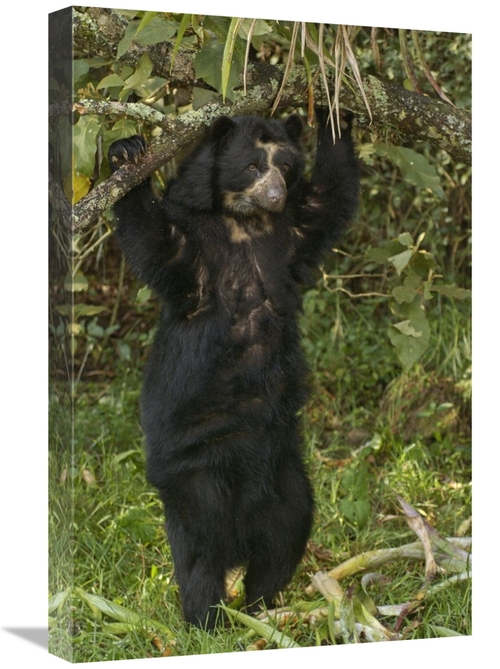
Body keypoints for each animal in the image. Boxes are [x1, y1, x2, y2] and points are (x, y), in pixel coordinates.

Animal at [108, 107, 360, 629]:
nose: (276, 195)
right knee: (202, 549)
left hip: (286, 470)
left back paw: (263, 607)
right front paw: (126, 152)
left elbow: (329, 197)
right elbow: (156, 241)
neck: (245, 223)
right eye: (251, 166)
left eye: (285, 166)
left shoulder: (293, 234)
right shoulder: (196, 254)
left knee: (288, 532)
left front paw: (337, 104)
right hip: (197, 468)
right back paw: (209, 620)